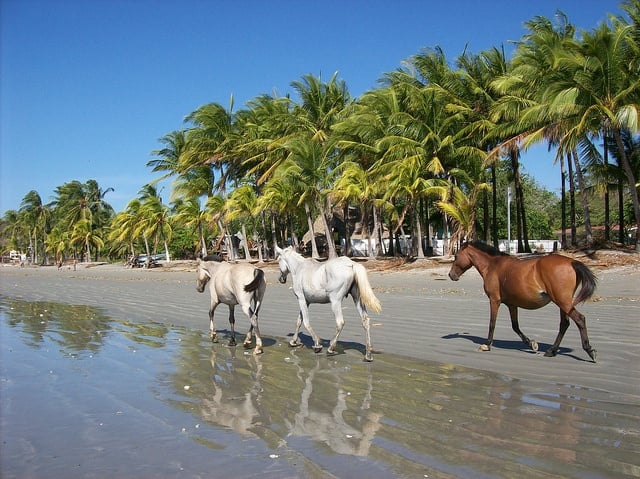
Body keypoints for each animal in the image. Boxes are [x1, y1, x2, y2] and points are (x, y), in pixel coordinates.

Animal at [448, 241, 597, 362]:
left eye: (456, 256)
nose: (451, 275)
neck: (492, 266)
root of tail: (572, 262)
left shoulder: (494, 300)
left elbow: (492, 324)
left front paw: (487, 345)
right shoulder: (511, 305)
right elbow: (515, 326)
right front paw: (531, 343)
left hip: (563, 302)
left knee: (580, 319)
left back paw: (589, 350)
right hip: (563, 303)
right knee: (564, 324)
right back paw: (551, 351)